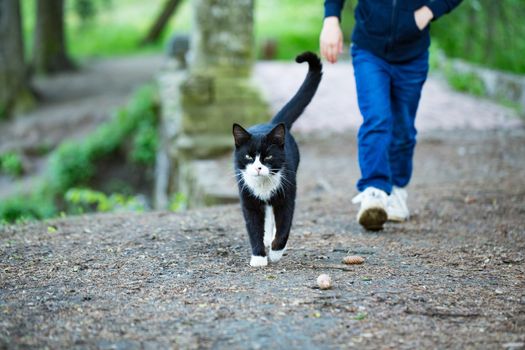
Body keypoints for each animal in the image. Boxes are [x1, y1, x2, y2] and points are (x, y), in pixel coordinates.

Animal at [232, 51, 322, 266]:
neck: (263, 185)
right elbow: (253, 227)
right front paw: (258, 257)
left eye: (269, 156)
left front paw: (275, 252)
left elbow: (284, 225)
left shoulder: (287, 195)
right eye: (248, 156)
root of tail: (272, 123)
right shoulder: (248, 199)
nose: (258, 168)